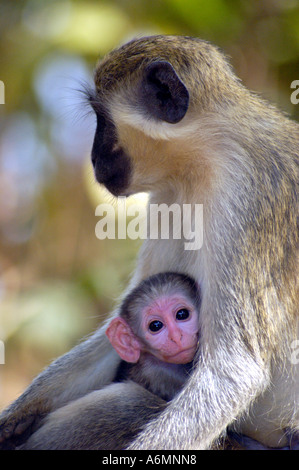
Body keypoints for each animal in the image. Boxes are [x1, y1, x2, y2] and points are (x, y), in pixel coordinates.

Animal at [0, 35, 299, 448]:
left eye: (102, 118)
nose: (94, 158)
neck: (204, 157)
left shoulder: (244, 197)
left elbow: (233, 373)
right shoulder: (168, 196)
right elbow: (121, 326)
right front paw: (13, 419)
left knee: (124, 404)